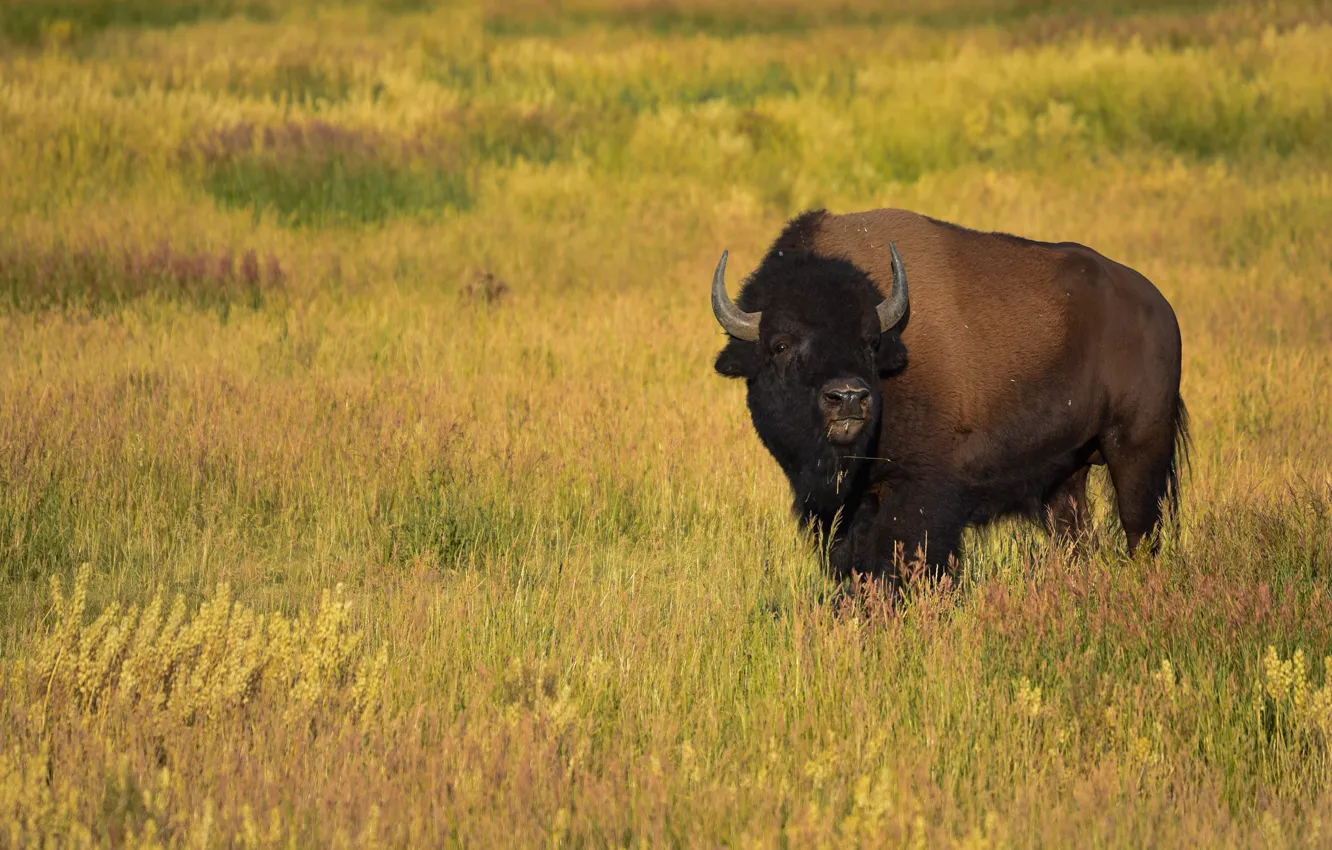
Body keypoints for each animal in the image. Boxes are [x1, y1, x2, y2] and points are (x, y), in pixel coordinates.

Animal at [711, 207, 1187, 586]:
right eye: (781, 344)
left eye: (870, 342)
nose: (848, 398)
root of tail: (1160, 308)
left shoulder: (919, 495)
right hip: (1067, 476)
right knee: (1076, 536)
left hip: (1137, 452)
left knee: (1140, 531)